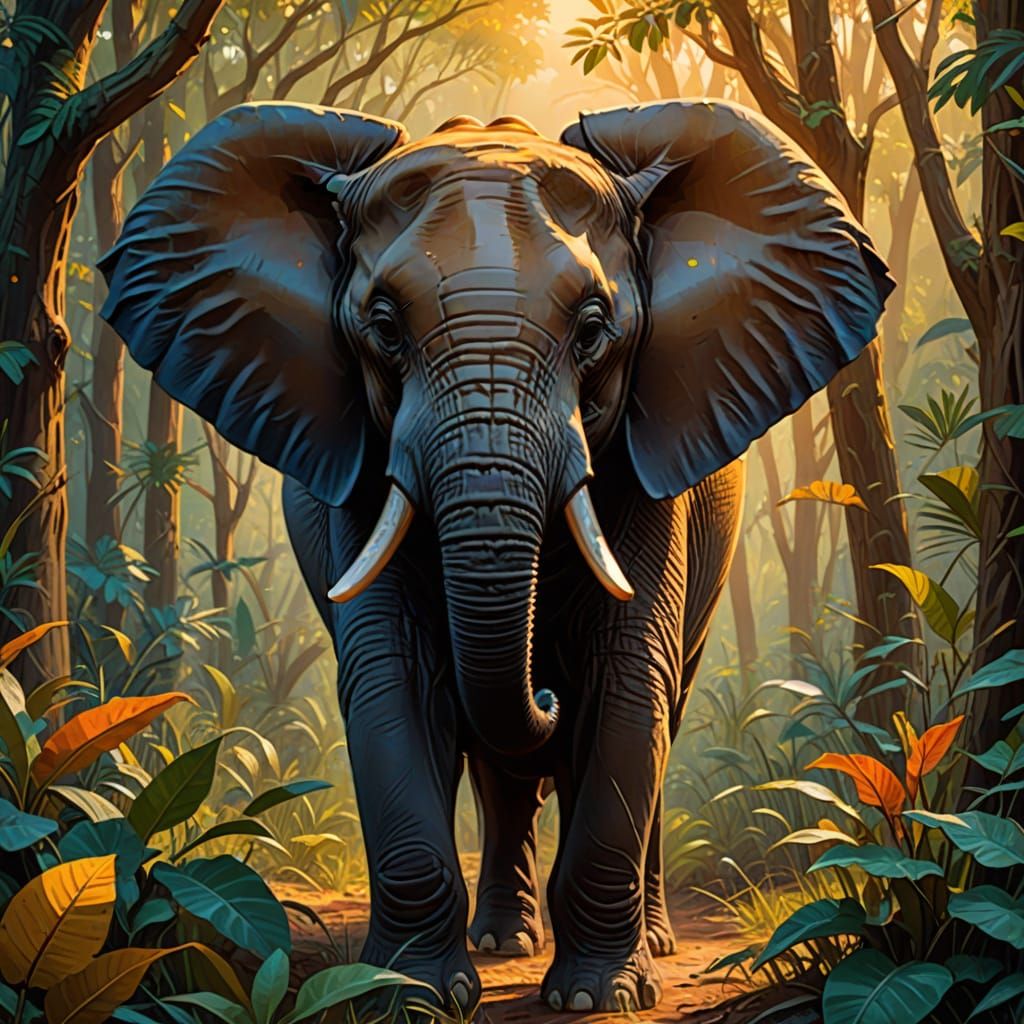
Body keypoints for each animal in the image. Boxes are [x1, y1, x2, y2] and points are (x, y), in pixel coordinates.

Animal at [99, 99, 891, 1017]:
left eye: (593, 330)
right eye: (383, 327)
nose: (545, 686)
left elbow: (627, 683)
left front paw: (598, 998)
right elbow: (394, 678)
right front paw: (409, 994)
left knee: (658, 711)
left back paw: (646, 943)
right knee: (499, 766)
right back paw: (504, 940)